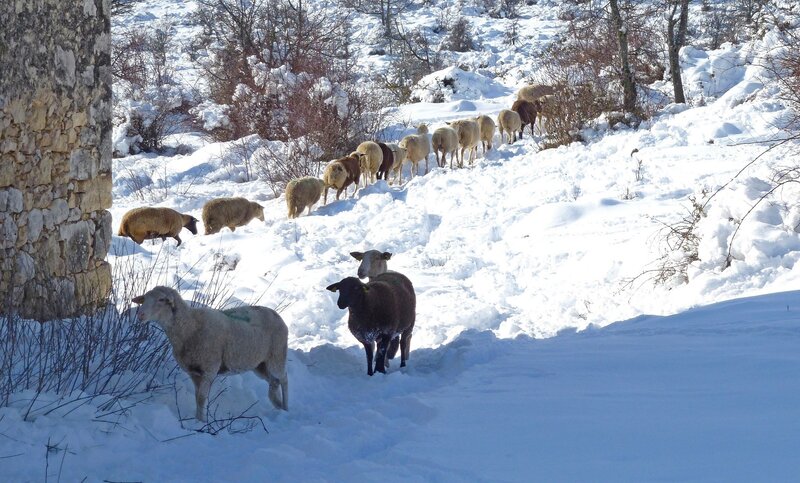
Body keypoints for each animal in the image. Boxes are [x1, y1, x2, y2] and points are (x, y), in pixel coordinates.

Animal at [132, 286, 289, 422]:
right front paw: (197, 420)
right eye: (144, 298)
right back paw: (277, 405)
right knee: (274, 381)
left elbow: (201, 398)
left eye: (161, 300)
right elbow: (197, 398)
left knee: (283, 379)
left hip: (277, 356)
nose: (140, 314)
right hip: (259, 364)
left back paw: (286, 408)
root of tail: (276, 314)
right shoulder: (194, 372)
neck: (190, 327)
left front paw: (201, 423)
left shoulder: (209, 370)